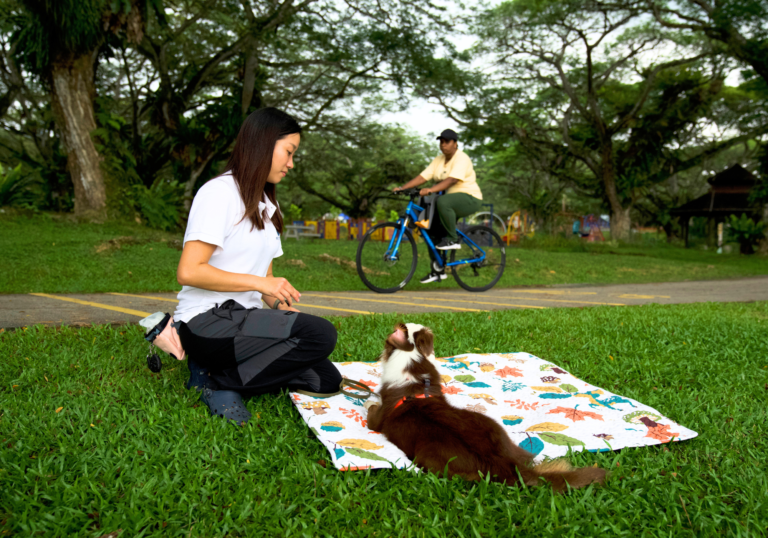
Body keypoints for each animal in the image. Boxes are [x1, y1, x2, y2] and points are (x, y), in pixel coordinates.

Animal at [364, 320, 608, 492]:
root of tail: (506, 464)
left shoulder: (377, 420)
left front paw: (368, 398)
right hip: (497, 429)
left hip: (429, 458)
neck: (413, 363)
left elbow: (372, 409)